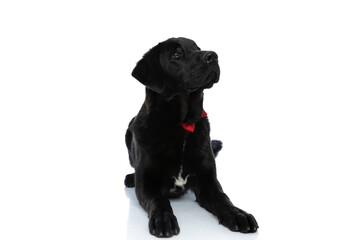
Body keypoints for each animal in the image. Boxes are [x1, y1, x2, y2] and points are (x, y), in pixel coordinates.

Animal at [125, 38, 258, 238]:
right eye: (176, 54)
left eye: (197, 48)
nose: (213, 56)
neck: (180, 126)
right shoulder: (147, 183)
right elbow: (158, 200)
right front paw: (163, 219)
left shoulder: (208, 180)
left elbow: (223, 199)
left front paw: (238, 214)